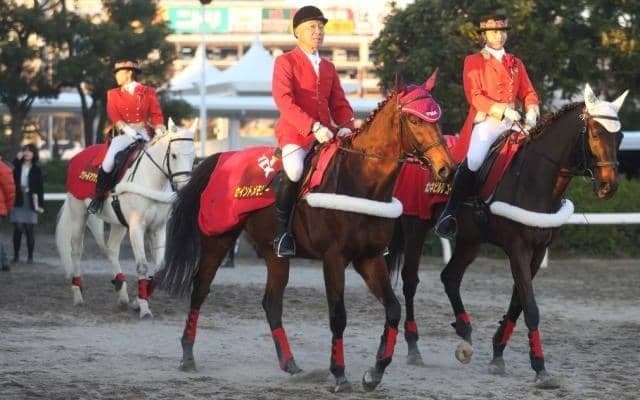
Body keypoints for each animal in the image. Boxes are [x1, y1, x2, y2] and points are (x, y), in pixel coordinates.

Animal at [55, 119, 197, 318]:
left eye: (193, 156)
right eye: (174, 155)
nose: (185, 189)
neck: (151, 179)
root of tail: (78, 156)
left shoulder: (158, 227)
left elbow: (160, 267)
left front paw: (138, 301)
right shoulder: (137, 227)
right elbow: (142, 266)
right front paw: (144, 308)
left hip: (119, 224)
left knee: (112, 249)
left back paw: (121, 293)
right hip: (79, 213)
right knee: (76, 250)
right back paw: (78, 295)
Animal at [155, 72, 457, 392]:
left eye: (437, 119)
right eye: (414, 120)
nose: (447, 169)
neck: (359, 179)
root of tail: (222, 156)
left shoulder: (369, 258)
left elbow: (393, 309)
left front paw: (374, 372)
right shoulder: (334, 258)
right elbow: (338, 316)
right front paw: (339, 374)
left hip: (275, 255)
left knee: (271, 303)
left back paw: (289, 363)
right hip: (218, 239)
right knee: (200, 289)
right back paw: (187, 355)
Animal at [386, 84, 628, 386]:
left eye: (619, 136)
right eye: (595, 133)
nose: (608, 186)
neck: (536, 178)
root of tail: (411, 155)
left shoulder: (537, 250)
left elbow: (518, 303)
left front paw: (498, 352)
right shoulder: (518, 248)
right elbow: (531, 307)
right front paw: (539, 367)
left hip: (469, 240)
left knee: (450, 277)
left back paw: (465, 330)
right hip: (415, 227)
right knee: (410, 281)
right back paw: (414, 346)